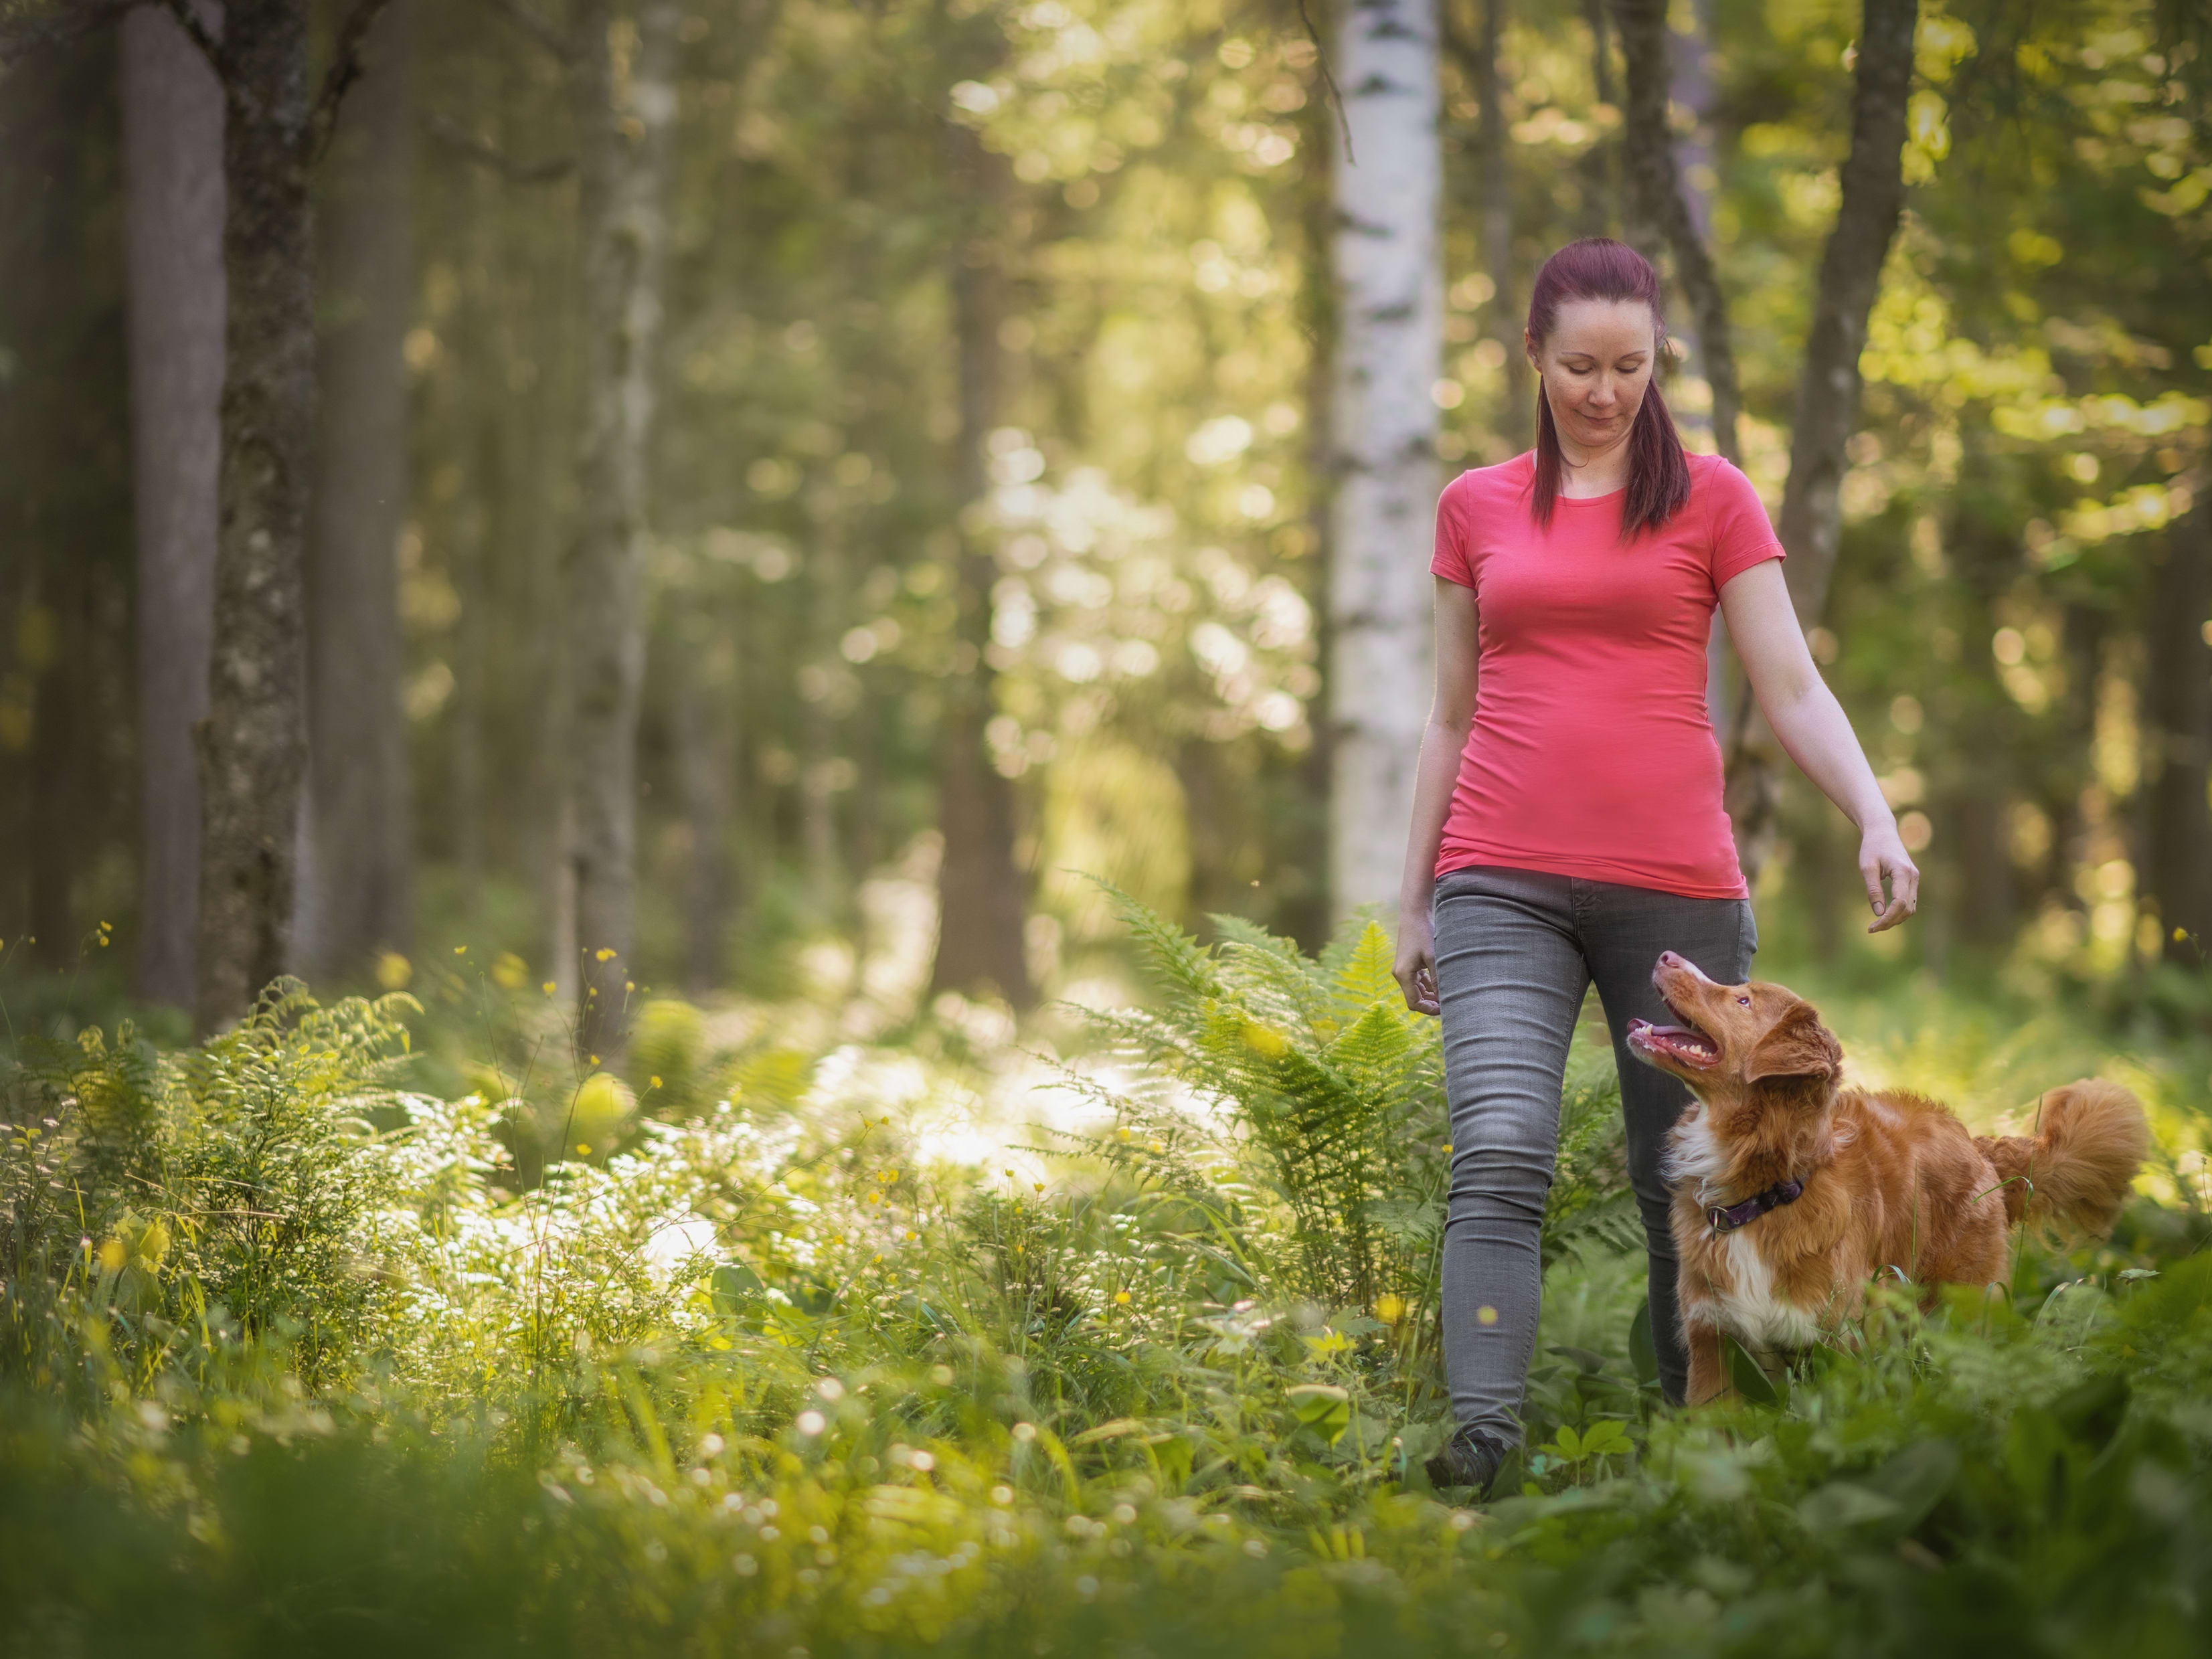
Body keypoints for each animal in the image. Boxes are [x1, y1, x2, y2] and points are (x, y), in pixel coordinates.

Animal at [1628, 955, 2141, 1407]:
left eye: (1743, 1000)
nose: (1666, 954)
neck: (1764, 1191)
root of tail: (1977, 1146)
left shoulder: (1838, 1344)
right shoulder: (1716, 1348)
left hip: (1961, 1310)